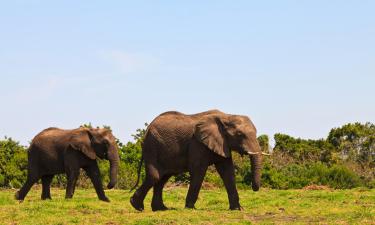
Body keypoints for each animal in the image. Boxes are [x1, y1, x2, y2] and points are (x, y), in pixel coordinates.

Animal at [131, 110, 266, 212]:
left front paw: (238, 209)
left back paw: (161, 209)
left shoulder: (222, 143)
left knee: (162, 178)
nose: (254, 188)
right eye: (239, 134)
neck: (226, 116)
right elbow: (199, 171)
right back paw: (137, 206)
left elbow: (228, 172)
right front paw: (190, 208)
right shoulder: (197, 143)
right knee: (155, 176)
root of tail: (147, 129)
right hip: (152, 146)